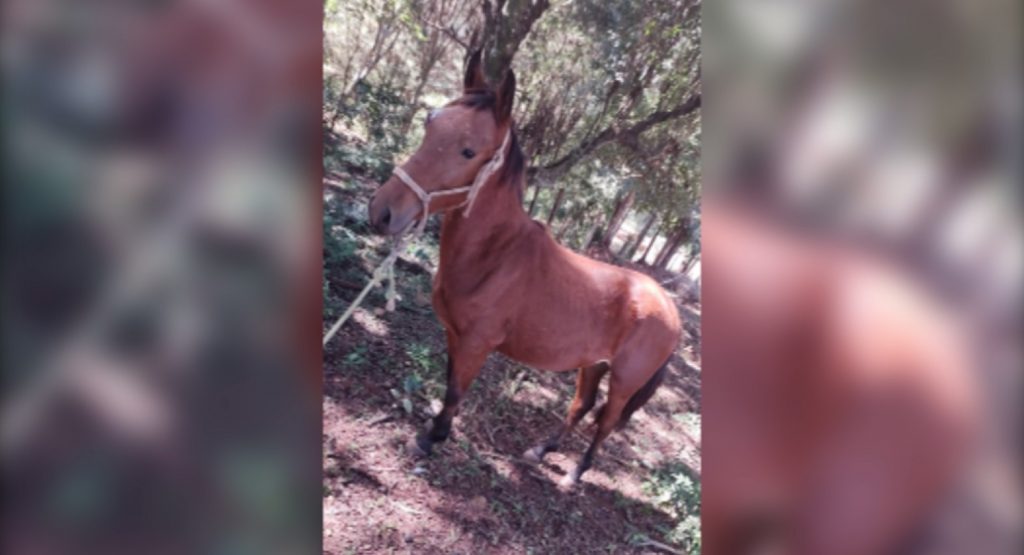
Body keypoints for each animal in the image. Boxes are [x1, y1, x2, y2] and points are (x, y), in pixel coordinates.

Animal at [367, 51, 682, 487]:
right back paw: (541, 450)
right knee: (581, 406)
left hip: (623, 380)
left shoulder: (476, 342)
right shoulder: (454, 335)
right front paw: (437, 430)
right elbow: (450, 385)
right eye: (430, 122)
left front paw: (431, 439)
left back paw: (575, 474)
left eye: (469, 151)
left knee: (605, 422)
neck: (496, 255)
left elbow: (455, 391)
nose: (382, 212)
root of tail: (669, 307)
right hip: (593, 364)